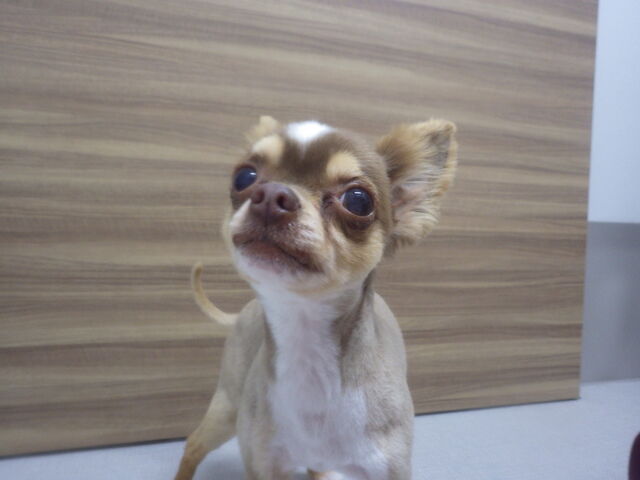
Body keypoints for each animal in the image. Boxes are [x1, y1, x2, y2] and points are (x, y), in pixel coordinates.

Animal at [175, 115, 458, 480]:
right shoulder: (264, 464)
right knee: (194, 444)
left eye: (358, 200)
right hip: (228, 404)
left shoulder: (386, 468)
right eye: (244, 177)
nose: (271, 195)